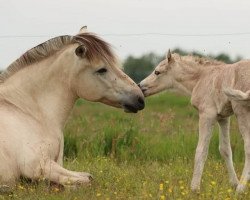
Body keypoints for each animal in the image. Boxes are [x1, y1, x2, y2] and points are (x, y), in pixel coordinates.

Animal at [0, 27, 145, 189]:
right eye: (102, 69)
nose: (140, 98)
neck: (27, 112)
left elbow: (85, 177)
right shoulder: (37, 166)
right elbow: (87, 179)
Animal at [140, 50, 250, 193]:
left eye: (157, 72)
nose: (140, 86)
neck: (200, 78)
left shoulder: (207, 114)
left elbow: (201, 150)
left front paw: (194, 188)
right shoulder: (223, 117)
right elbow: (225, 149)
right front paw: (233, 184)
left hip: (242, 111)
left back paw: (241, 189)